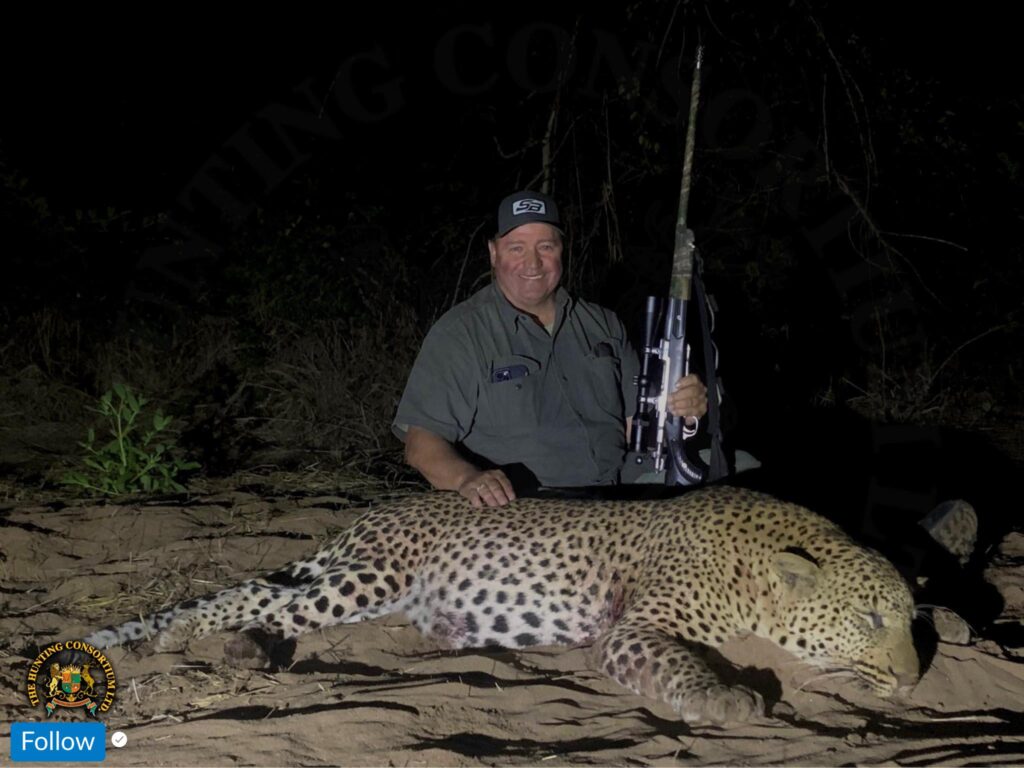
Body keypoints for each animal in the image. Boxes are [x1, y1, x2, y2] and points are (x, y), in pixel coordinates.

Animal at [84, 485, 920, 724]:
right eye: (869, 620)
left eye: (914, 622)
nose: (914, 679)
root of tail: (379, 510)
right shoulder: (633, 632)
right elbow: (677, 663)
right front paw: (726, 699)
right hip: (371, 576)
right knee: (256, 592)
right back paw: (189, 639)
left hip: (366, 591)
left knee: (266, 599)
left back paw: (227, 645)